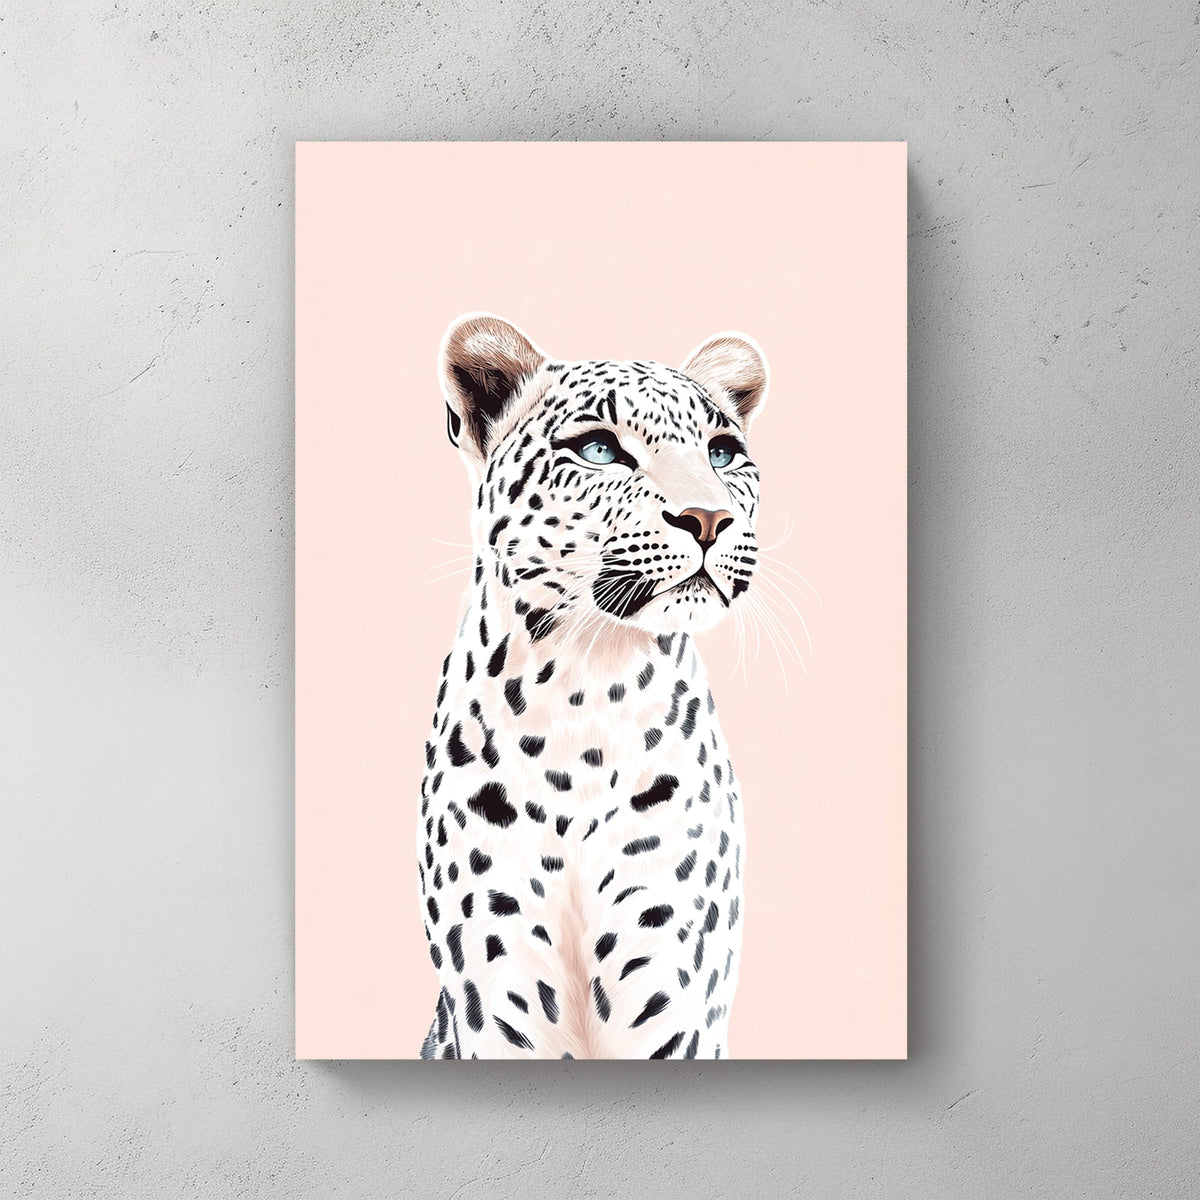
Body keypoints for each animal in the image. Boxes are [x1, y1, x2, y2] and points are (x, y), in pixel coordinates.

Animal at [417, 312, 768, 1059]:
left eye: (724, 453)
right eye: (600, 449)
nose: (709, 519)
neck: (585, 689)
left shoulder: (671, 969)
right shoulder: (496, 978)